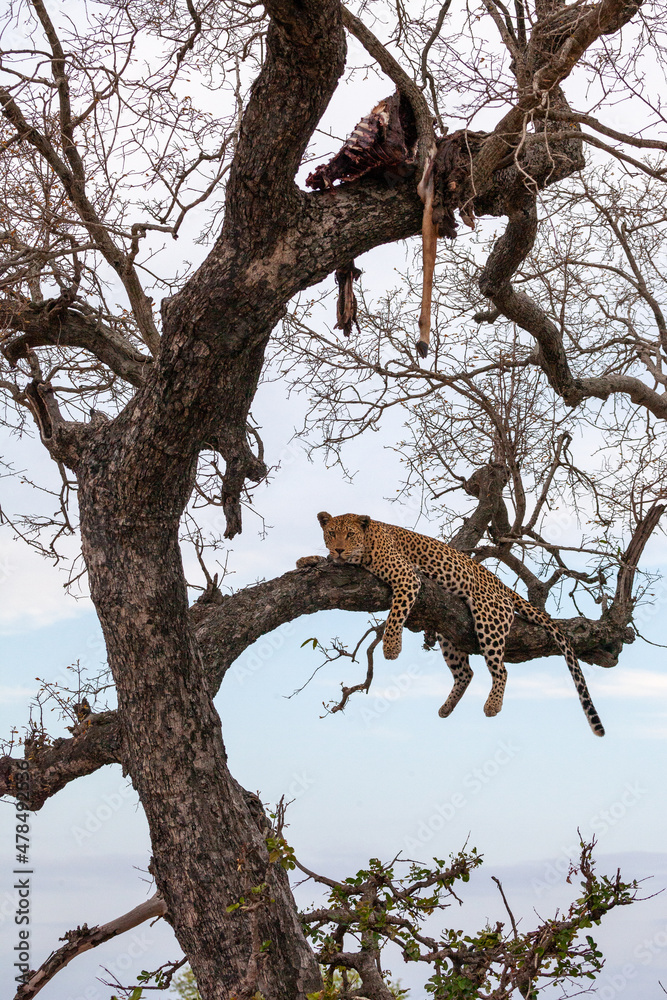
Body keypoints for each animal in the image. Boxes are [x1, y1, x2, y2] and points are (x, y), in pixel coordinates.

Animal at [300, 512, 605, 737]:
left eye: (350, 535)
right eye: (331, 534)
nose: (339, 549)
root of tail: (502, 585)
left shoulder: (407, 578)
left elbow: (396, 614)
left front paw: (392, 646)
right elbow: (326, 561)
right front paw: (309, 559)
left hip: (489, 620)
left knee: (501, 669)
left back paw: (492, 705)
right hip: (449, 630)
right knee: (465, 672)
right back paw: (446, 708)